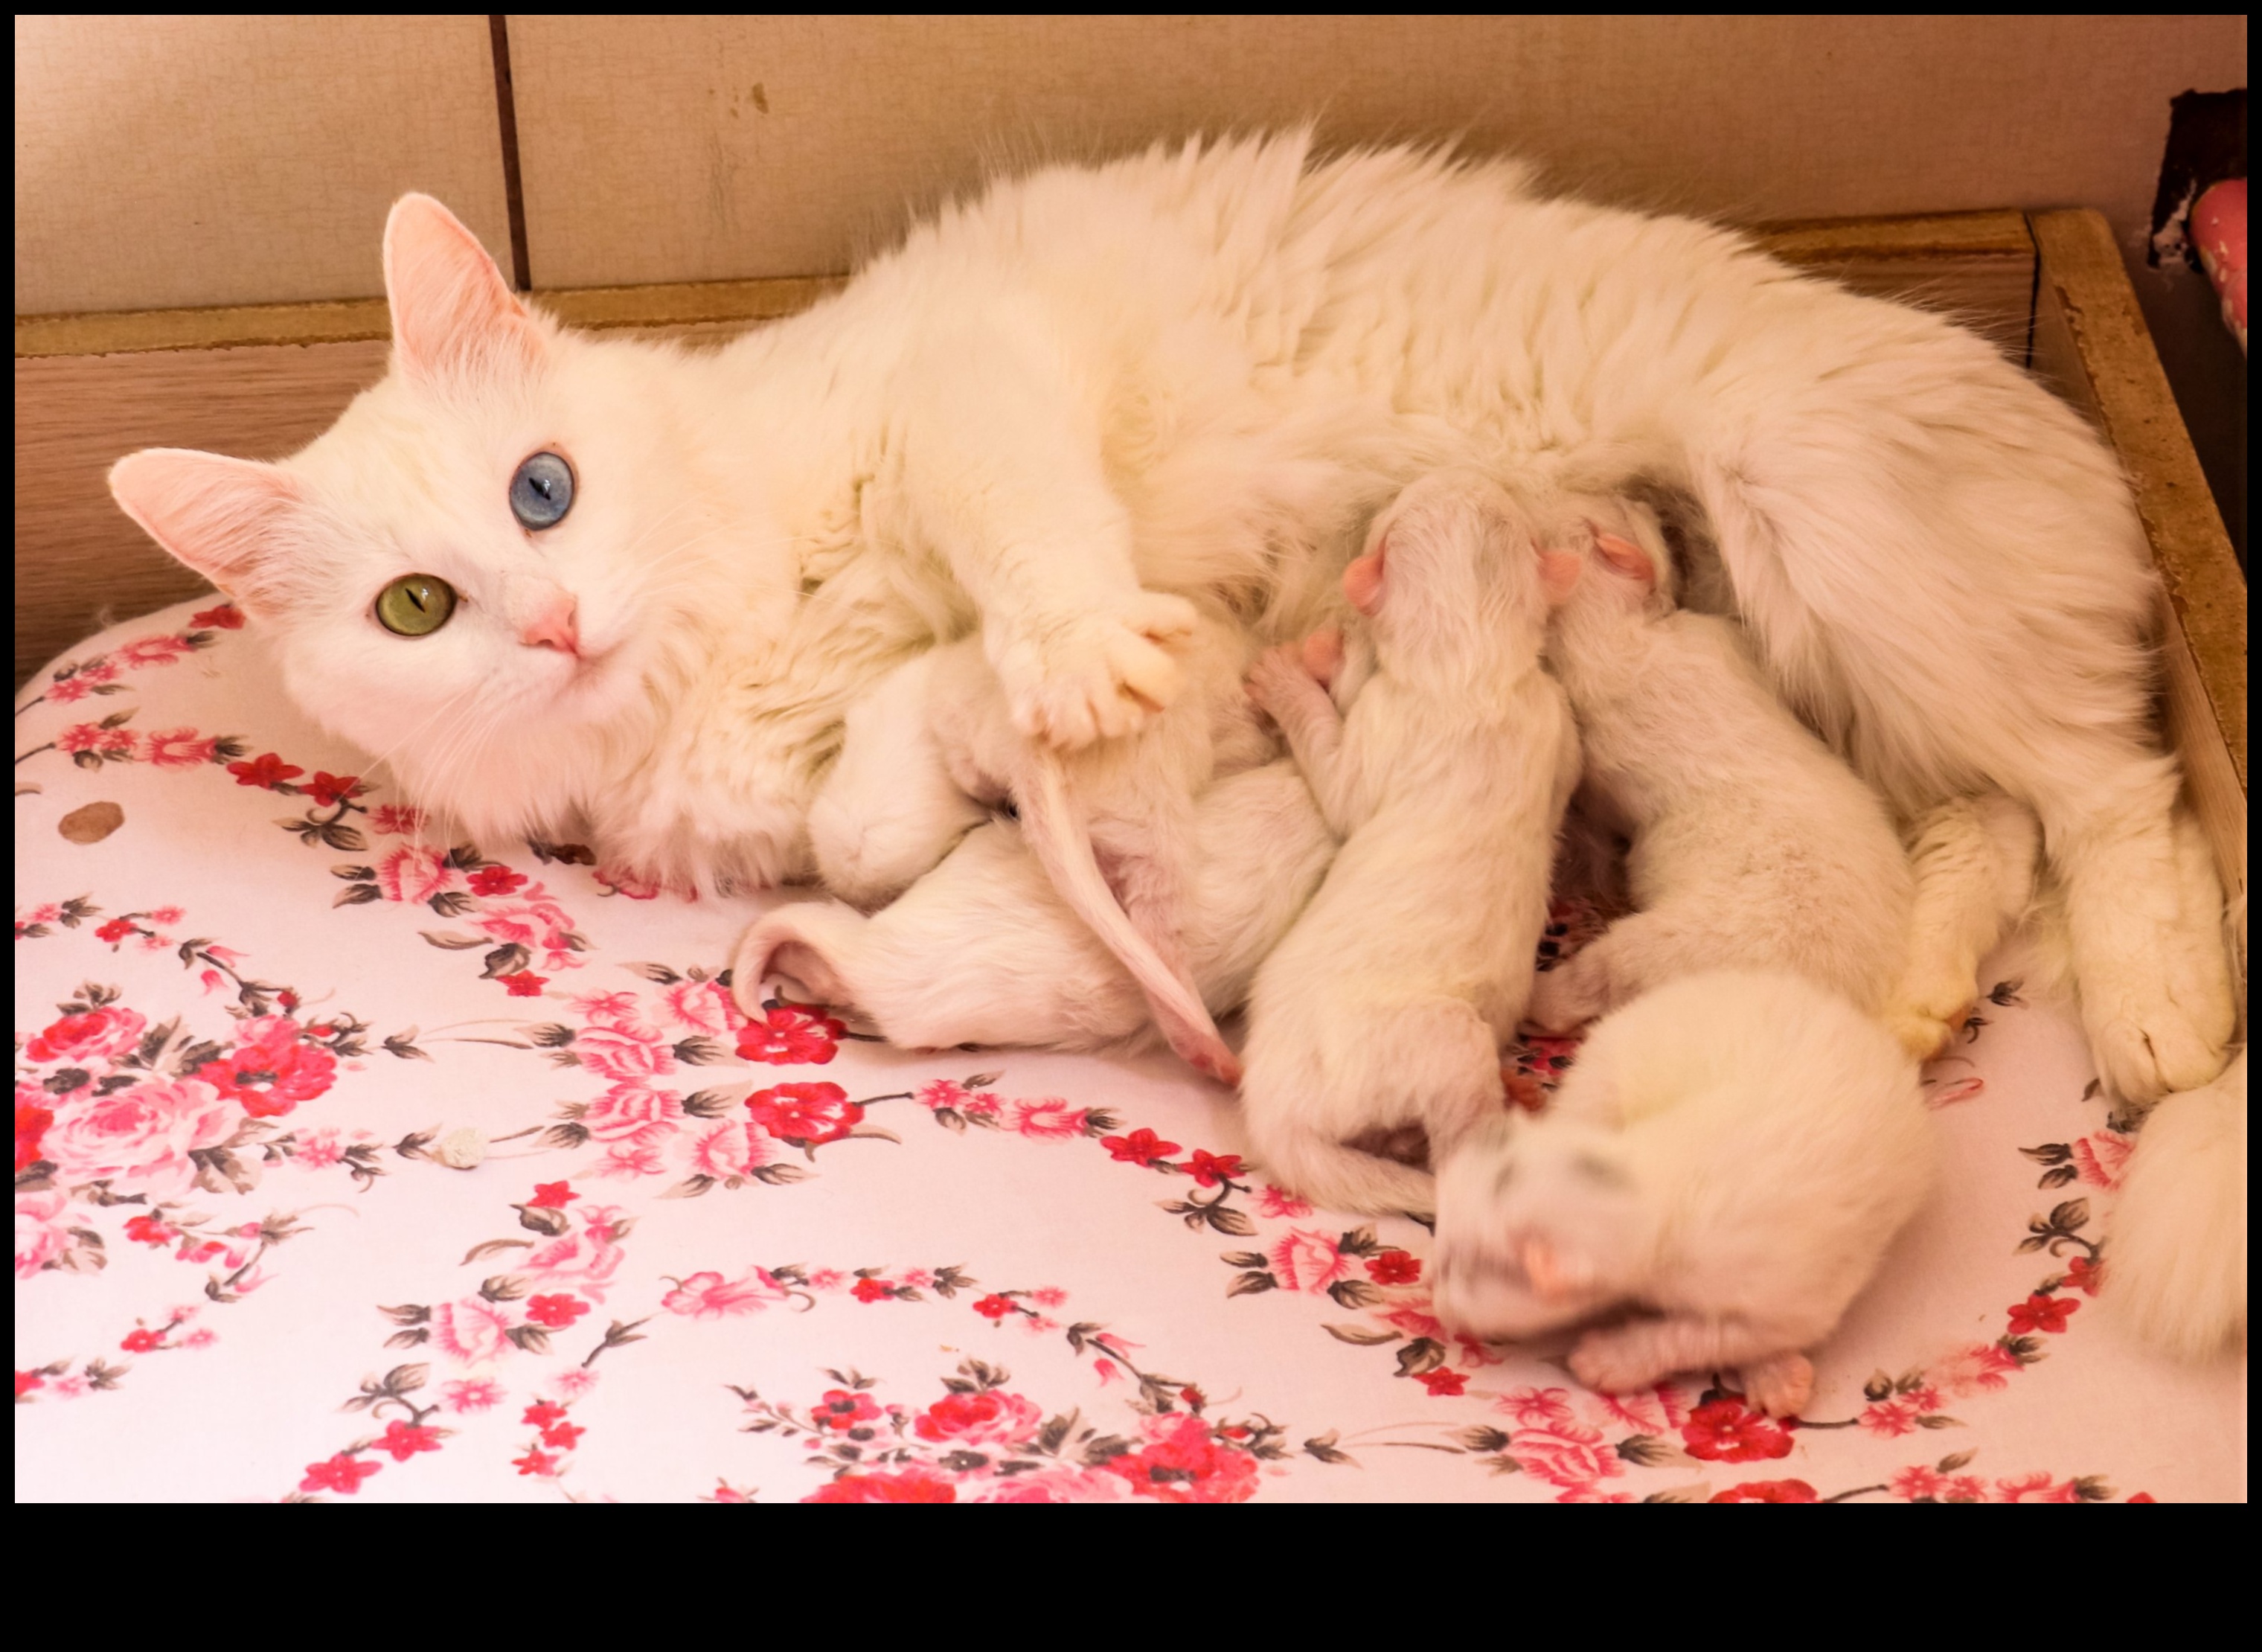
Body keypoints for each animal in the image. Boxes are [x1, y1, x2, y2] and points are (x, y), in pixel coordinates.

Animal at [1230, 470, 1583, 1213]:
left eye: (1389, 523)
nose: (1456, 472)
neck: (1472, 665)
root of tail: (1272, 1118)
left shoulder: (1382, 719)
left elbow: (1339, 787)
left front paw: (1287, 677)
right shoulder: (1559, 715)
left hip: (1428, 1042)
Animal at [1438, 964, 1936, 1412]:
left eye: (1461, 1267)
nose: (1434, 1295)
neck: (1646, 1183)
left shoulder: (1786, 1306)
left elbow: (1697, 1335)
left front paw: (1611, 1358)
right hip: (1600, 1076)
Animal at [1529, 511, 1917, 1031]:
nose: (1653, 508)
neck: (1599, 641)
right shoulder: (1714, 639)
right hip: (1656, 949)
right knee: (1588, 986)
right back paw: (1539, 996)